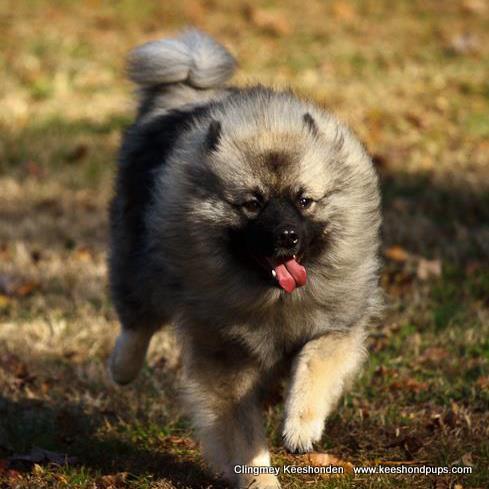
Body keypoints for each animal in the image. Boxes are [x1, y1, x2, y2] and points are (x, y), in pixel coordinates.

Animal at [107, 29, 382, 488]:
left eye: (303, 200)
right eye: (253, 204)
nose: (287, 236)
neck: (273, 298)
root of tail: (184, 94)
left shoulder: (335, 327)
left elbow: (315, 367)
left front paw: (300, 427)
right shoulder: (225, 359)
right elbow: (242, 432)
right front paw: (260, 480)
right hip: (138, 260)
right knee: (138, 320)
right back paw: (122, 368)